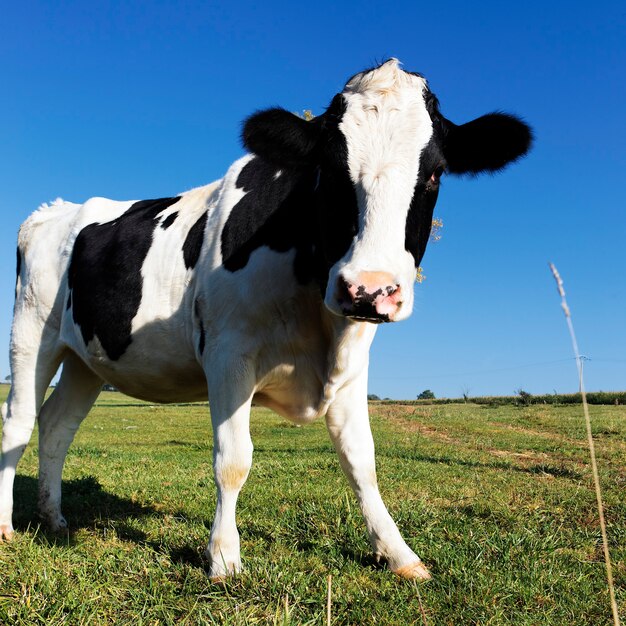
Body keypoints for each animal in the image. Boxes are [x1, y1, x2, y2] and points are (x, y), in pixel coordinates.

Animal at [0, 59, 528, 580]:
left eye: (435, 174)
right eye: (329, 170)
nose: (369, 289)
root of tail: (54, 210)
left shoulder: (352, 366)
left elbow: (362, 461)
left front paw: (398, 552)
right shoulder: (229, 355)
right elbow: (233, 459)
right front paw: (223, 557)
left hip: (86, 358)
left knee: (57, 425)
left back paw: (54, 518)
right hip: (31, 334)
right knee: (18, 423)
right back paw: (7, 527)